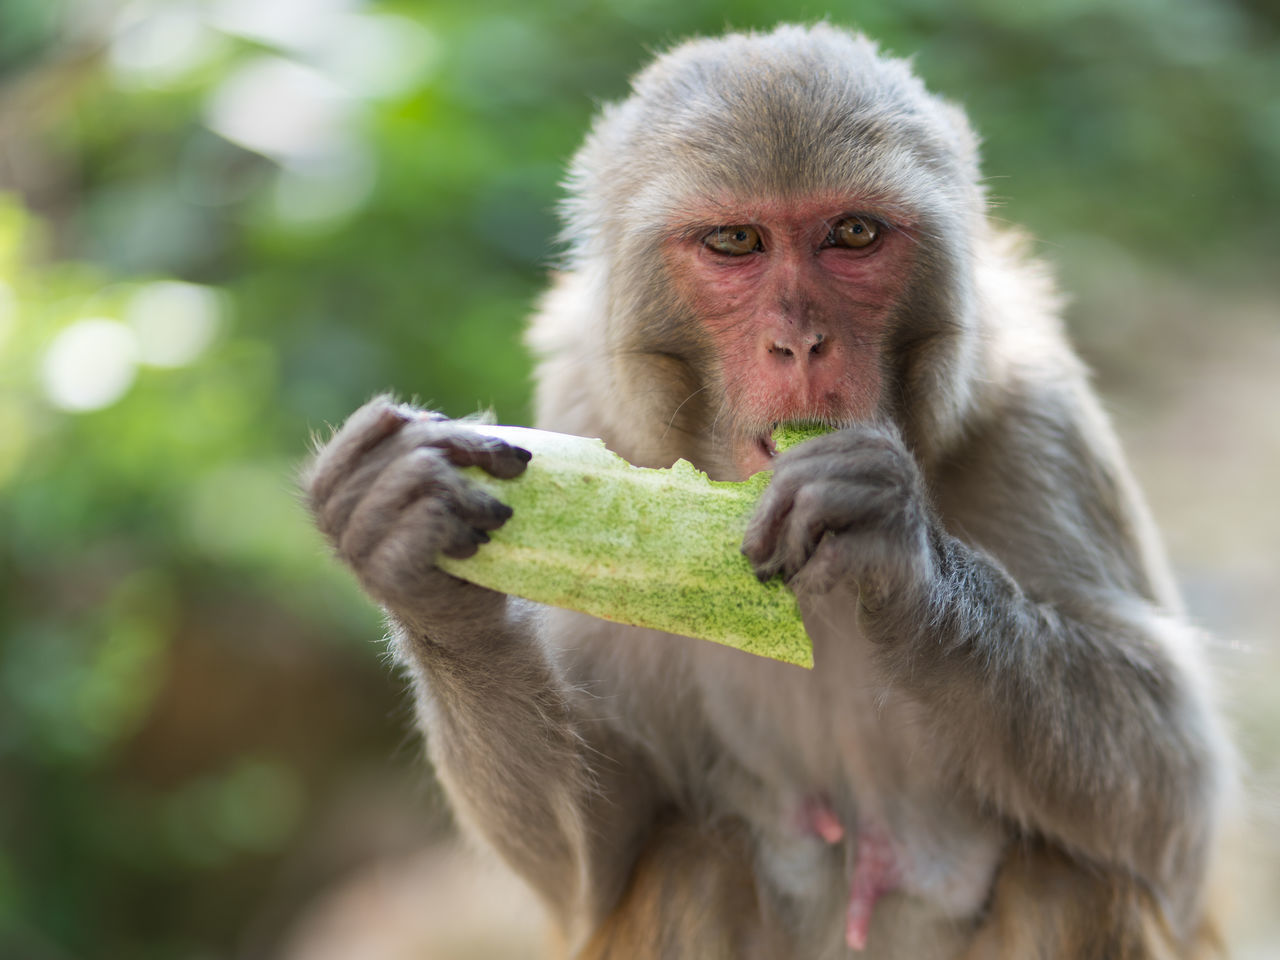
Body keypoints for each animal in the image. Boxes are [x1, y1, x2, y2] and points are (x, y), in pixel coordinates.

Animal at [307, 20, 1228, 960]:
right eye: (735, 242)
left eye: (854, 233)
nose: (801, 343)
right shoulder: (584, 407)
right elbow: (596, 863)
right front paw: (424, 576)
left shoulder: (1038, 417)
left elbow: (1177, 808)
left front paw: (900, 551)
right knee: (689, 857)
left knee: (1076, 877)